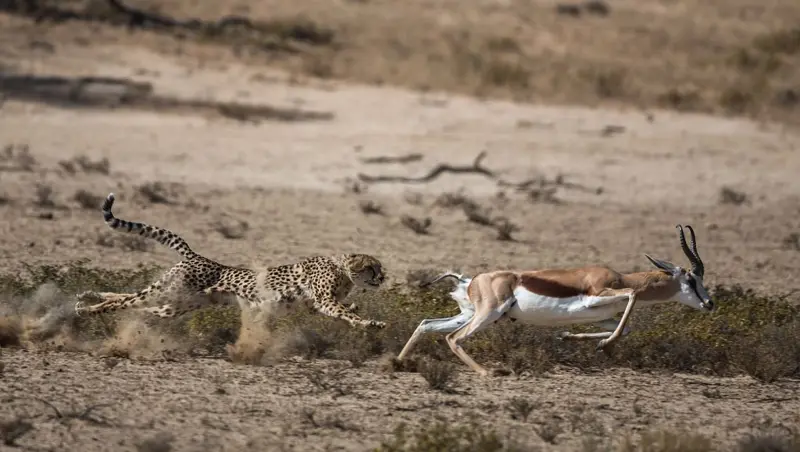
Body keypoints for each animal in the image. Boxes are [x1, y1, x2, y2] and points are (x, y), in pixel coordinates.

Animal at [73, 192, 386, 328]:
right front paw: (369, 323)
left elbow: (343, 308)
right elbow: (345, 312)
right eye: (372, 267)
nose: (384, 277)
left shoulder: (314, 304)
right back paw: (86, 309)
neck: (343, 271)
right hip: (168, 293)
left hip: (173, 305)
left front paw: (358, 310)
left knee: (128, 300)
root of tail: (197, 256)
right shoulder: (324, 299)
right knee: (123, 301)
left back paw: (84, 299)